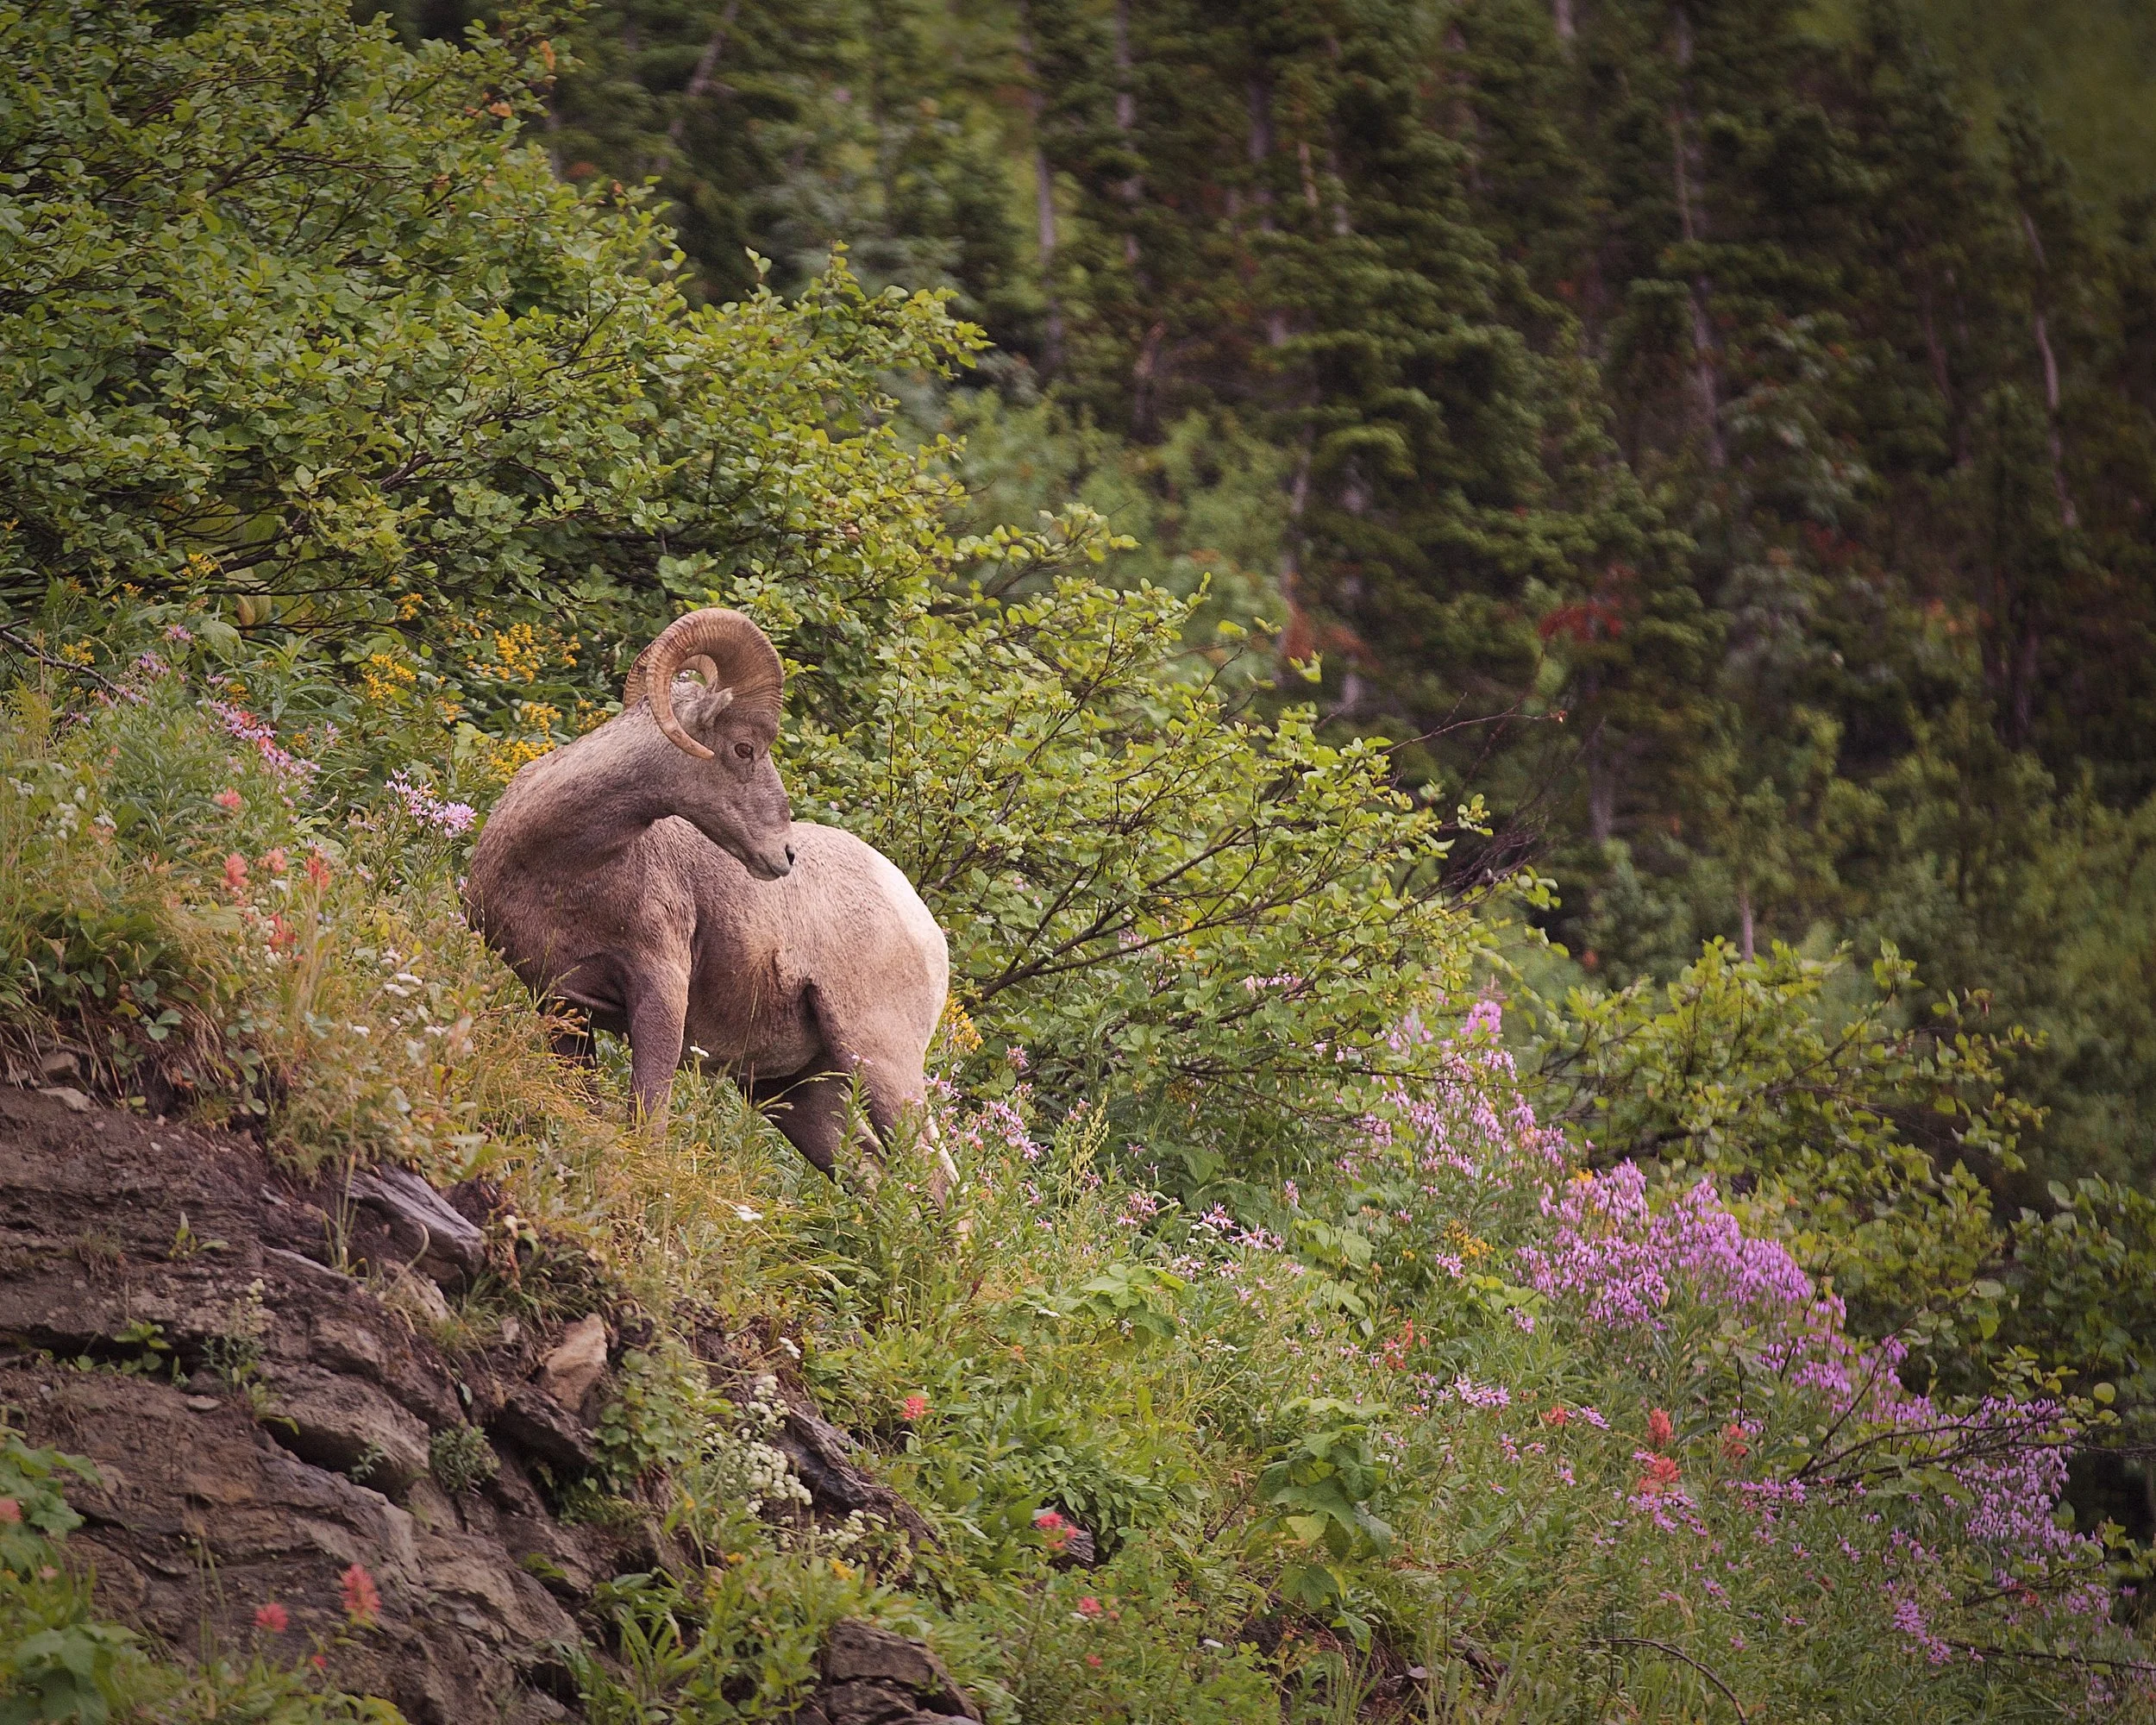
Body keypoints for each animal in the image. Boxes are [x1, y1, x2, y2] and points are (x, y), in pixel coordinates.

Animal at [465, 608, 951, 1185]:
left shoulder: (659, 993)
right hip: (798, 1095)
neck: (561, 868)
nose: (785, 854)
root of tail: (928, 932)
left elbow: (647, 1120)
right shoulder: (560, 1005)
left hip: (881, 1065)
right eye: (743, 748)